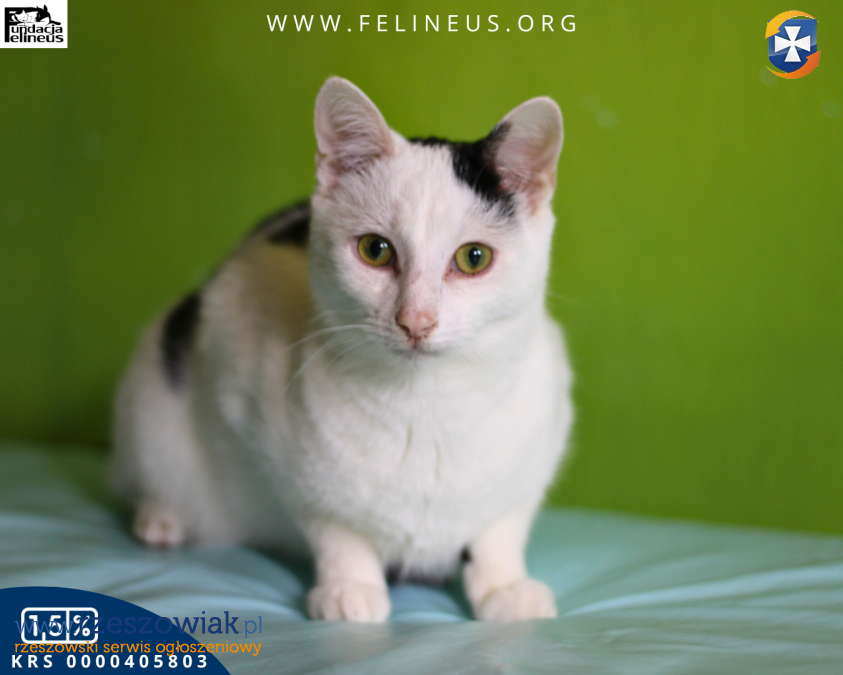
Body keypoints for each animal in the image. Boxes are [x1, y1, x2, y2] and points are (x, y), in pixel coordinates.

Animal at [111, 77, 573, 622]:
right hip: (149, 403)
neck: (428, 404)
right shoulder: (247, 381)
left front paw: (504, 585)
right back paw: (162, 518)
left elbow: (501, 528)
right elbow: (336, 528)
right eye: (376, 250)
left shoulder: (539, 449)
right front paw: (350, 586)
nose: (416, 320)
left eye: (474, 257)